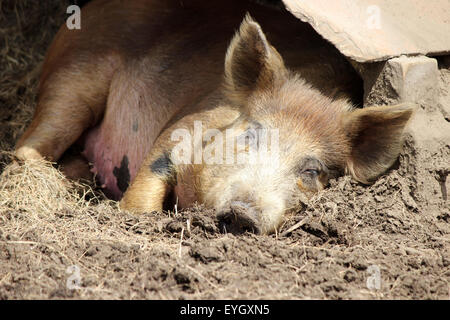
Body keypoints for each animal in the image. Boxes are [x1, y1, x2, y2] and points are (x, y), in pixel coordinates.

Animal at [15, 0, 414, 235]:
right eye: (251, 135)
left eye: (312, 171)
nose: (244, 210)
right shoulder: (180, 130)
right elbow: (148, 184)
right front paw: (135, 217)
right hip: (77, 75)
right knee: (29, 145)